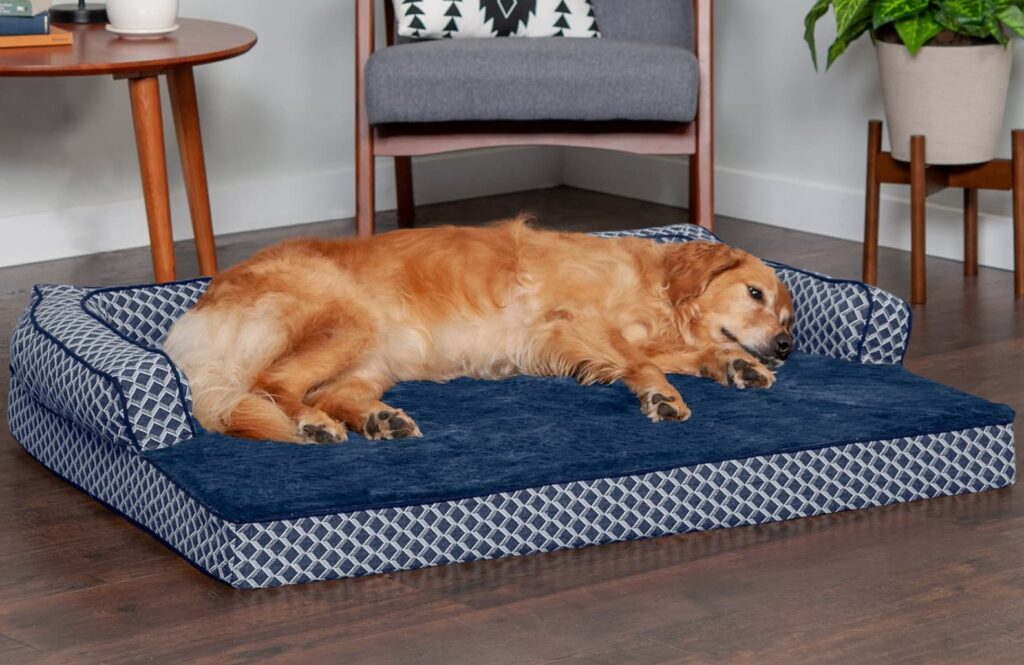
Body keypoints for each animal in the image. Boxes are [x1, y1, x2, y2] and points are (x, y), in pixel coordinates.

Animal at [163, 220, 794, 442]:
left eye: (789, 318)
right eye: (754, 293)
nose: (787, 344)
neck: (656, 286)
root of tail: (200, 309)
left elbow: (690, 351)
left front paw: (736, 365)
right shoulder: (576, 322)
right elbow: (644, 361)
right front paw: (663, 395)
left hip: (373, 358)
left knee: (332, 392)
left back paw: (380, 420)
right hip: (349, 323)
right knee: (273, 386)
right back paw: (313, 425)